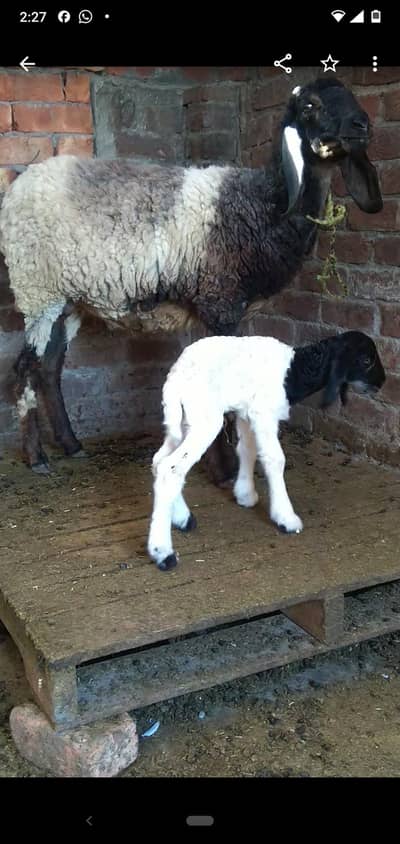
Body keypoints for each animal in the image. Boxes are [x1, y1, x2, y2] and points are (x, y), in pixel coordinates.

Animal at [0, 77, 382, 479]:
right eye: (310, 106)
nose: (362, 125)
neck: (266, 204)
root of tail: (19, 187)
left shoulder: (217, 307)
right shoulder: (220, 301)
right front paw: (227, 470)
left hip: (69, 299)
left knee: (49, 368)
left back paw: (71, 445)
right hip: (37, 289)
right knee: (24, 370)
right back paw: (37, 457)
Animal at [147, 330, 386, 571]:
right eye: (366, 360)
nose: (381, 382)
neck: (296, 371)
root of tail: (176, 377)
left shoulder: (246, 412)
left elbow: (247, 449)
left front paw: (245, 494)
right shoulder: (264, 414)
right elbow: (275, 459)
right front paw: (285, 518)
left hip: (182, 421)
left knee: (160, 461)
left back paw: (181, 518)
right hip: (204, 419)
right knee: (171, 468)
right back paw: (163, 552)